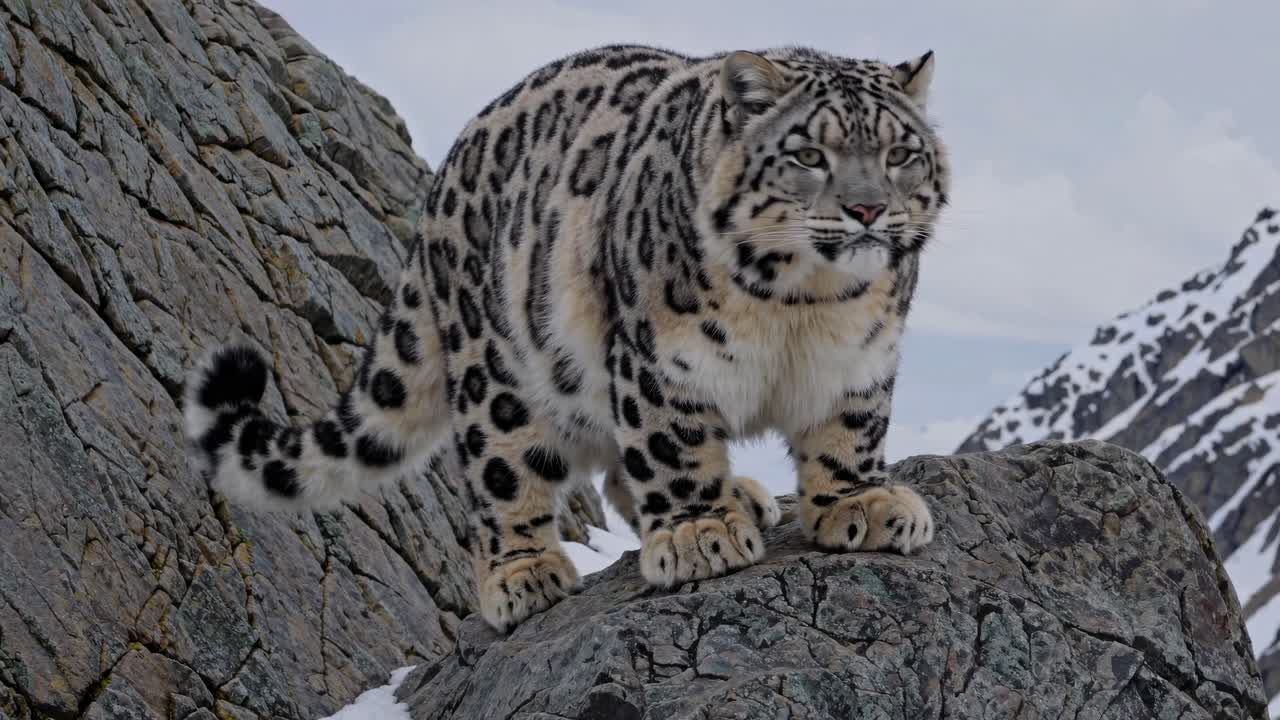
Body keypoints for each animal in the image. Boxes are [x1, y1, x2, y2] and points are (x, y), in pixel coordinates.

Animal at [182, 43, 949, 633]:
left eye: (900, 153)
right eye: (810, 154)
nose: (867, 209)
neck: (804, 304)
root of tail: (438, 195)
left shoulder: (860, 358)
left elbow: (849, 432)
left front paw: (861, 504)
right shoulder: (661, 360)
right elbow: (670, 446)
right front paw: (698, 532)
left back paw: (744, 497)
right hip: (502, 372)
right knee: (505, 472)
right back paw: (525, 574)